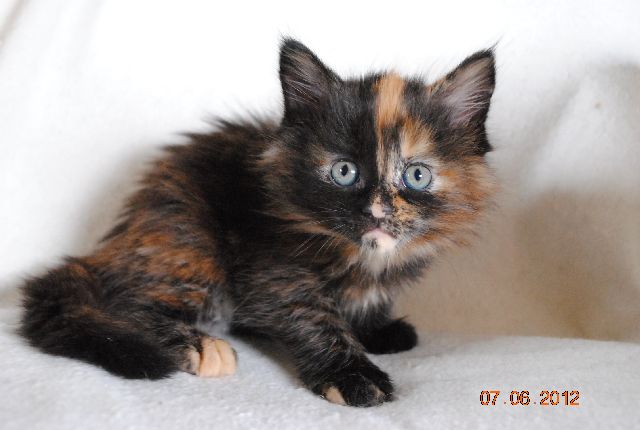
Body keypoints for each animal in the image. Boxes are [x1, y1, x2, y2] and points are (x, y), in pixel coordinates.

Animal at [20, 38, 496, 407]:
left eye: (416, 176)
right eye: (344, 172)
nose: (377, 211)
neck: (363, 260)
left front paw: (376, 329)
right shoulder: (273, 267)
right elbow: (311, 317)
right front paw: (351, 375)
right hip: (191, 241)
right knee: (126, 300)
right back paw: (197, 344)